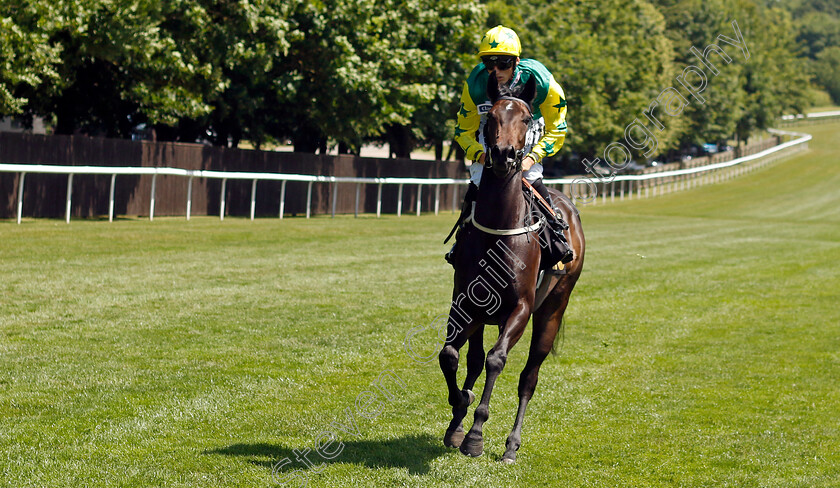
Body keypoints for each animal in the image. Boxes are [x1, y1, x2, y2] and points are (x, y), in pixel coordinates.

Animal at [440, 74, 584, 464]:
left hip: (552, 310)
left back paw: (510, 445)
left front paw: (475, 435)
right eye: (490, 118)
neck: (498, 230)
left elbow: (496, 360)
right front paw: (459, 410)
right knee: (472, 359)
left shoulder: (520, 308)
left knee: (528, 377)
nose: (504, 155)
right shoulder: (465, 302)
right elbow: (452, 356)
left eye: (525, 117)